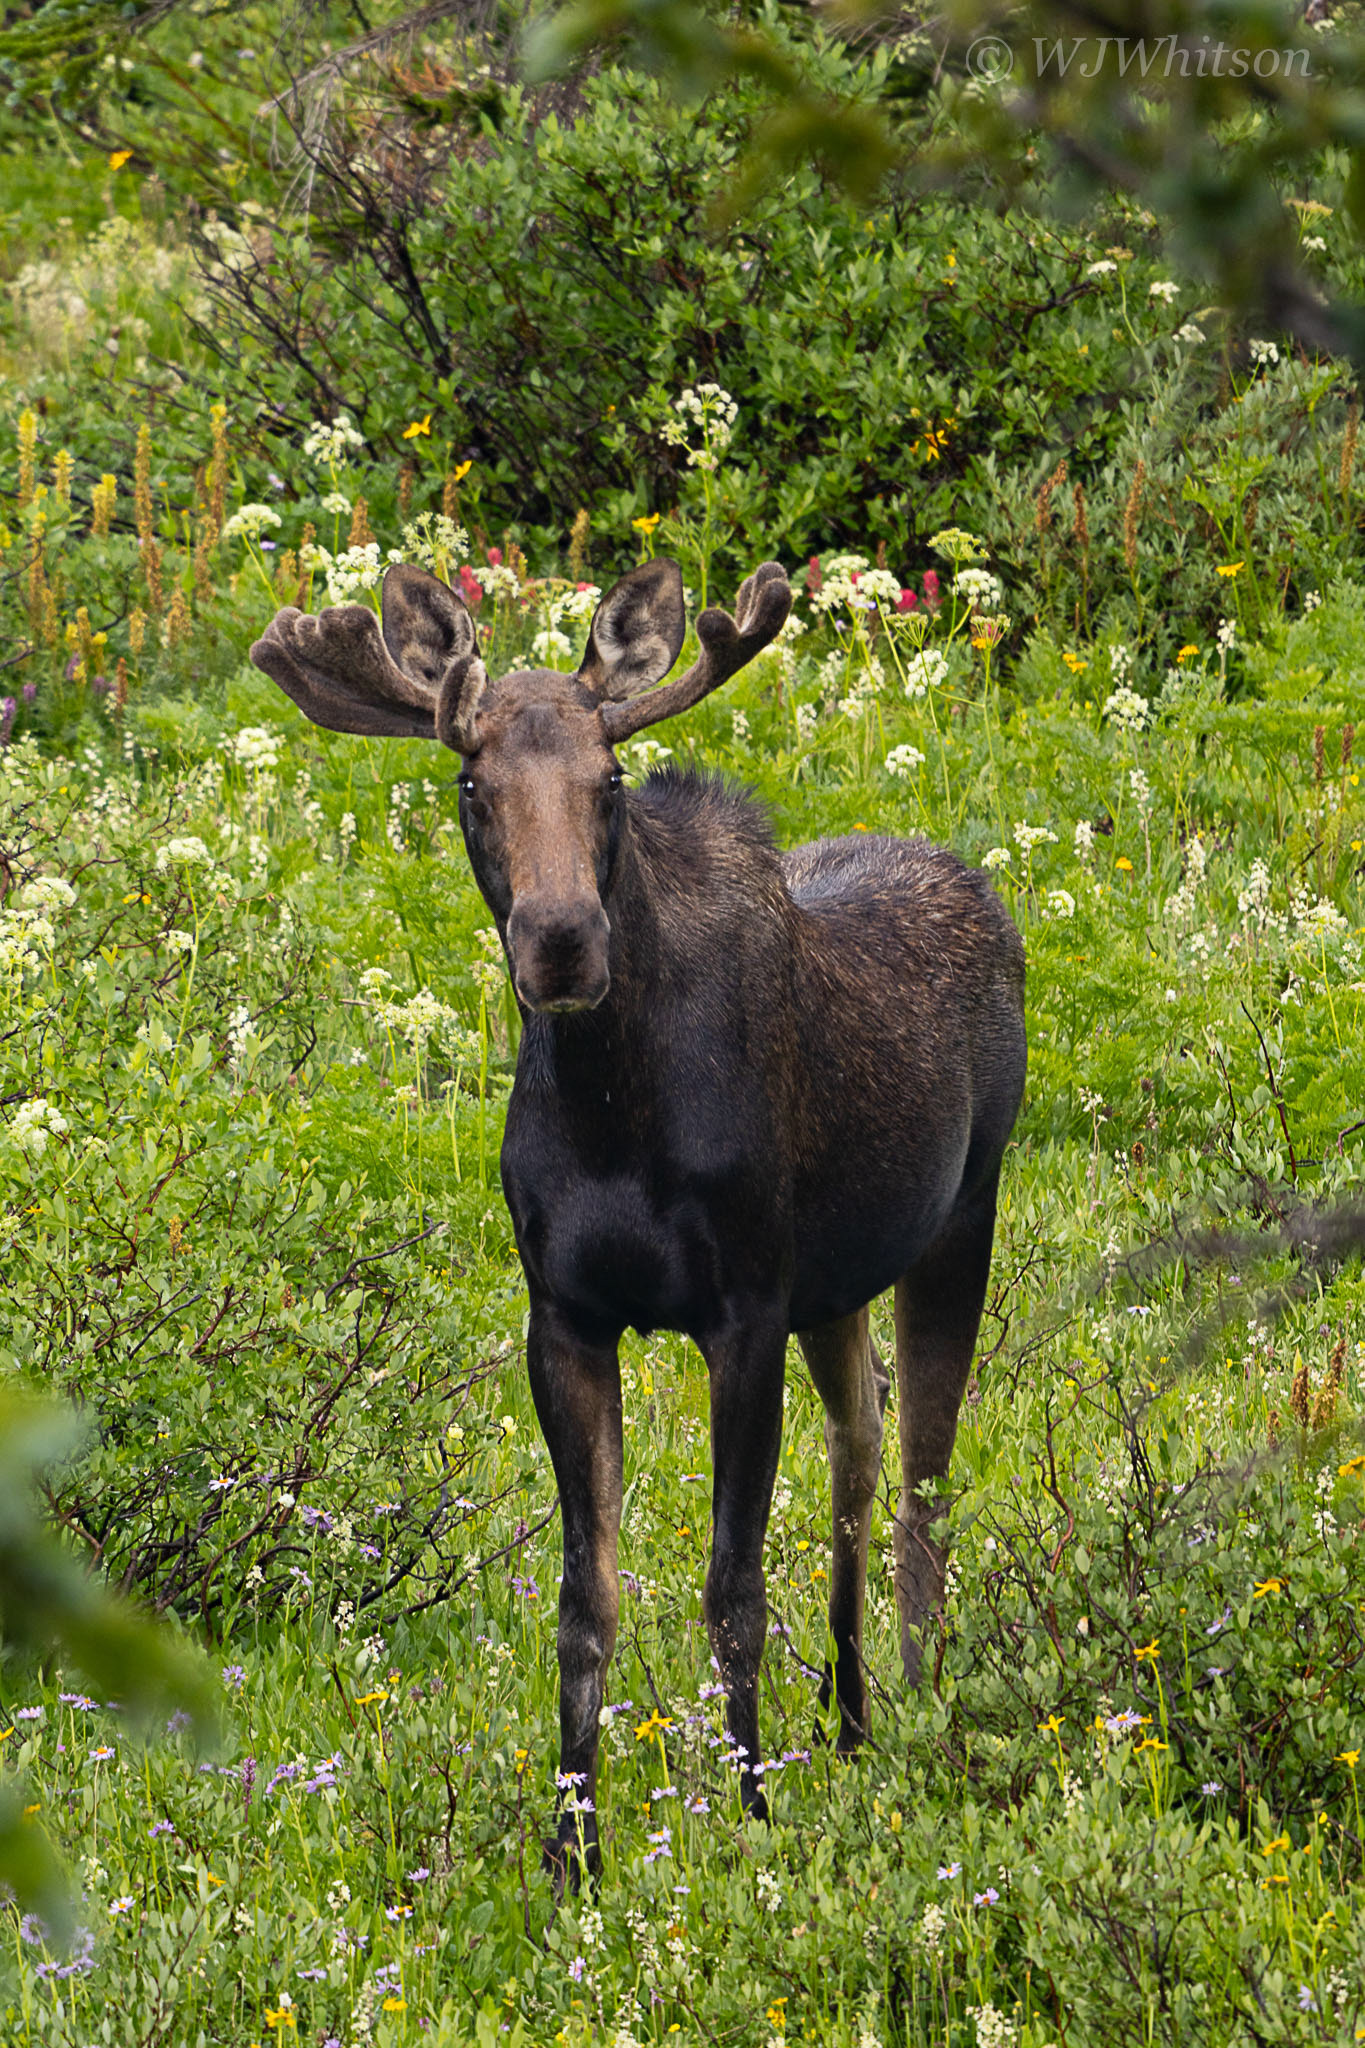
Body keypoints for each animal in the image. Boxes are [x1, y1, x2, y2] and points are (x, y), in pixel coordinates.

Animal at [251, 555, 1027, 1878]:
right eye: (472, 781)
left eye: (609, 780)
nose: (561, 938)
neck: (618, 1117)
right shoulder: (565, 1314)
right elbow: (585, 1597)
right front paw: (573, 1846)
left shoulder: (744, 1308)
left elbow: (731, 1587)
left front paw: (753, 1814)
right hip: (837, 1286)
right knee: (861, 1455)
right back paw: (852, 1718)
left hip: (960, 1216)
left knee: (924, 1489)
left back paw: (921, 1711)